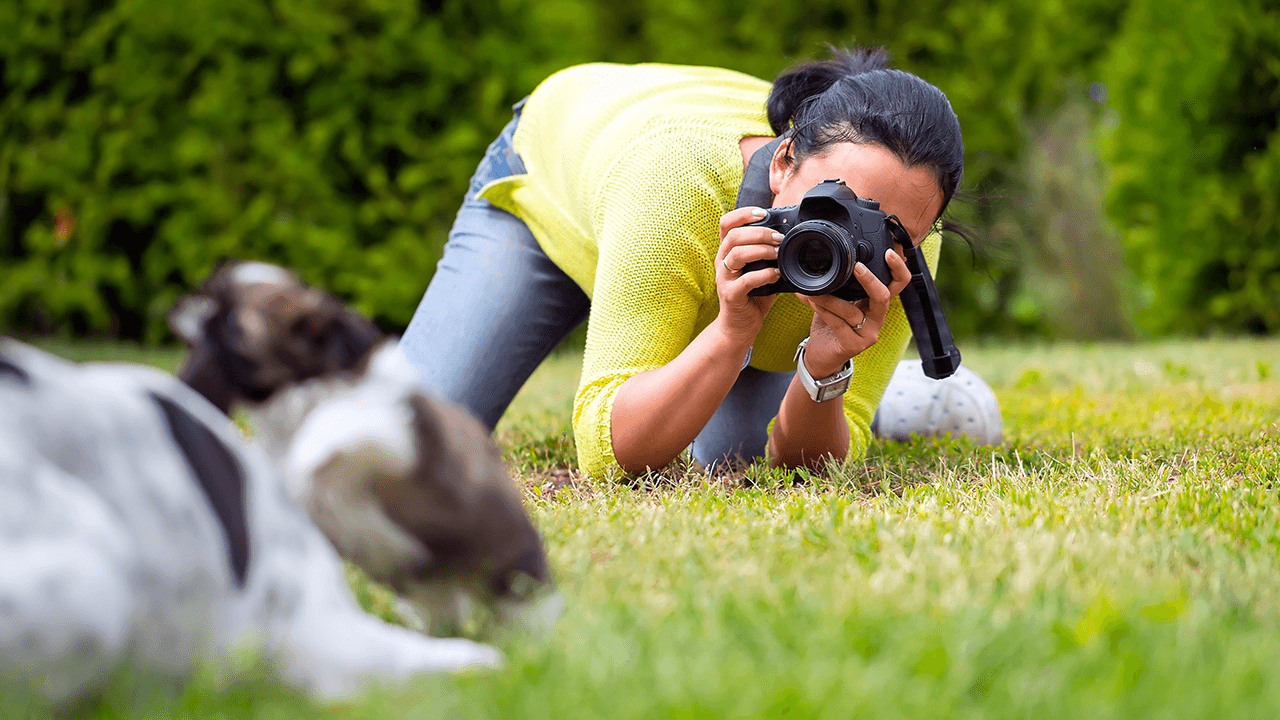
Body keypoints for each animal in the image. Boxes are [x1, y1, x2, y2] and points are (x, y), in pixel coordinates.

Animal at [167, 260, 558, 635]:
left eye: (233, 323)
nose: (182, 308)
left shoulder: (392, 431)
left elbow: (338, 422)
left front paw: (310, 449)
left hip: (513, 575)